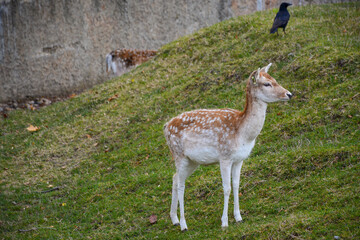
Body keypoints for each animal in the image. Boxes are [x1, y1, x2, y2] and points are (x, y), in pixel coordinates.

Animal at [163, 62, 292, 231]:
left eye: (275, 79)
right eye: (267, 84)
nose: (289, 94)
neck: (243, 134)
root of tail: (165, 127)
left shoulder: (239, 159)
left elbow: (236, 185)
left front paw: (238, 217)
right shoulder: (224, 157)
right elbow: (227, 188)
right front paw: (224, 222)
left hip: (193, 161)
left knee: (175, 178)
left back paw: (175, 219)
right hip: (178, 154)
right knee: (181, 185)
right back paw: (184, 224)